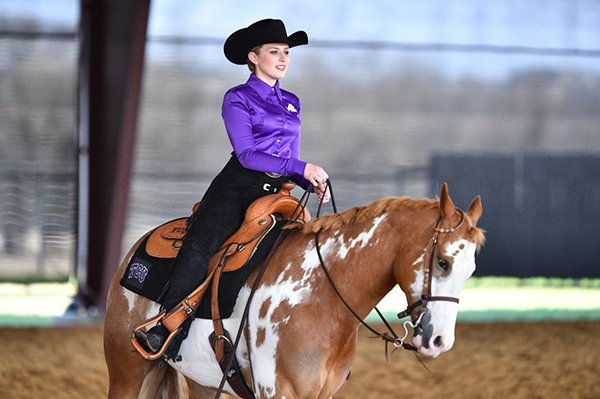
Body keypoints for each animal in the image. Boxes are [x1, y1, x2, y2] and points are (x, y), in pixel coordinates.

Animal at [105, 184, 486, 399]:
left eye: (471, 270)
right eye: (443, 262)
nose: (440, 340)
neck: (321, 296)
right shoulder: (279, 391)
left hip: (203, 383)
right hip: (127, 373)